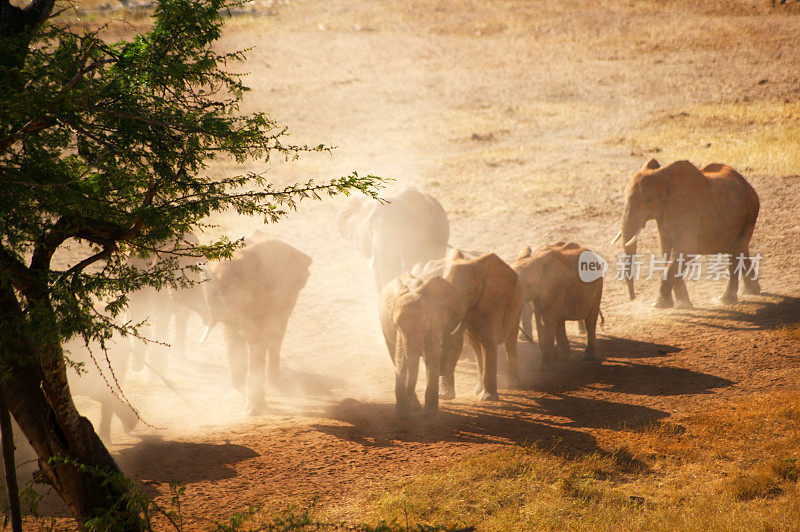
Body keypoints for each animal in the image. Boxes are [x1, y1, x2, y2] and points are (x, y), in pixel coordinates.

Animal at [202, 237, 310, 416]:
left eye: (245, 287)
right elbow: (233, 339)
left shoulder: (261, 296)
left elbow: (256, 339)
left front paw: (252, 411)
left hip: (288, 298)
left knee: (275, 336)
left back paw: (273, 383)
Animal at [380, 274, 462, 416]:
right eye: (397, 325)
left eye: (424, 324)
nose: (413, 407)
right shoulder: (398, 331)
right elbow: (400, 358)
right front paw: (403, 413)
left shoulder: (435, 320)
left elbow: (431, 355)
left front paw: (429, 414)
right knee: (393, 354)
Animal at [440, 249, 520, 400]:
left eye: (468, 293)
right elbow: (455, 341)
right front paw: (445, 395)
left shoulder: (492, 299)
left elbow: (489, 339)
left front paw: (488, 398)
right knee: (476, 346)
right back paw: (478, 390)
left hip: (519, 303)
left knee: (510, 340)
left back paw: (513, 385)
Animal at [616, 158, 760, 308]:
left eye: (648, 200)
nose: (633, 298)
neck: (663, 177)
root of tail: (749, 185)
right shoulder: (663, 218)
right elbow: (666, 252)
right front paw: (683, 305)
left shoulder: (689, 212)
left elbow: (684, 251)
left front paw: (659, 305)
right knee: (741, 250)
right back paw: (751, 291)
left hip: (750, 212)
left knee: (736, 252)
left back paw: (726, 299)